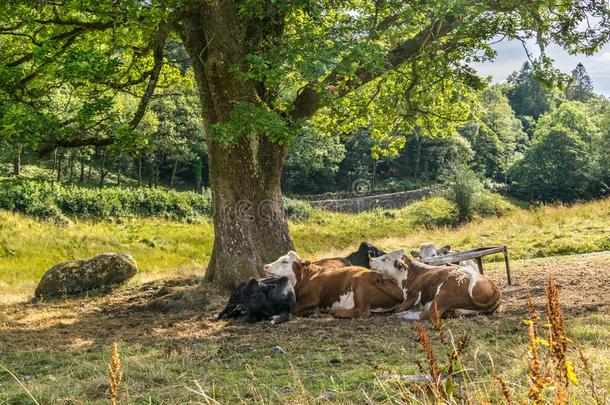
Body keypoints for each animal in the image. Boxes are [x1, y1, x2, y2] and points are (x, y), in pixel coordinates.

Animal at [262, 249, 402, 318]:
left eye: (285, 261)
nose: (265, 266)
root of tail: (378, 276)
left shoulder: (312, 299)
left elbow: (295, 307)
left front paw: (311, 313)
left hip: (359, 287)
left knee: (363, 311)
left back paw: (337, 313)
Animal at [366, 248, 498, 320]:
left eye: (386, 259)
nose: (371, 260)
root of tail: (493, 285)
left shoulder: (413, 296)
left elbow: (398, 307)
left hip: (444, 292)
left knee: (431, 314)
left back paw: (406, 315)